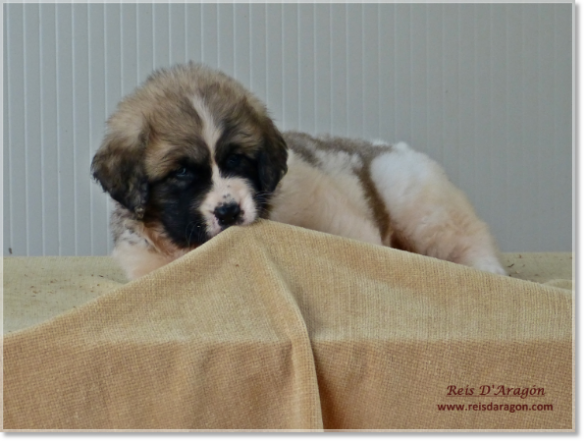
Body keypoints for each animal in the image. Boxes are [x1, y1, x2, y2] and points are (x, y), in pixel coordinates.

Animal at [90, 61, 502, 280]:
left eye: (236, 159)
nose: (229, 211)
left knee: (468, 238)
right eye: (181, 173)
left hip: (417, 201)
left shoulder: (334, 213)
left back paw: (489, 270)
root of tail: (396, 148)